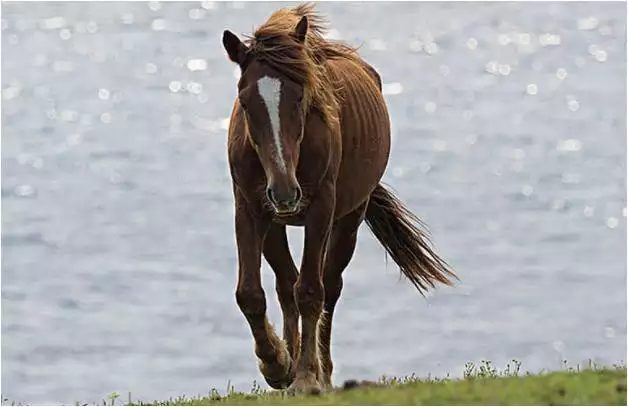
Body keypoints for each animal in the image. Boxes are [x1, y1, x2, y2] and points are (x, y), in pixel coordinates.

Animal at [221, 3, 456, 396]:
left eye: (300, 97)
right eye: (245, 100)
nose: (284, 191)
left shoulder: (321, 210)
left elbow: (311, 291)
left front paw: (306, 377)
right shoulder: (250, 209)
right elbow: (251, 294)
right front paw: (277, 365)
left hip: (347, 220)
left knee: (328, 287)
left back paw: (323, 372)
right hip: (275, 223)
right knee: (286, 284)